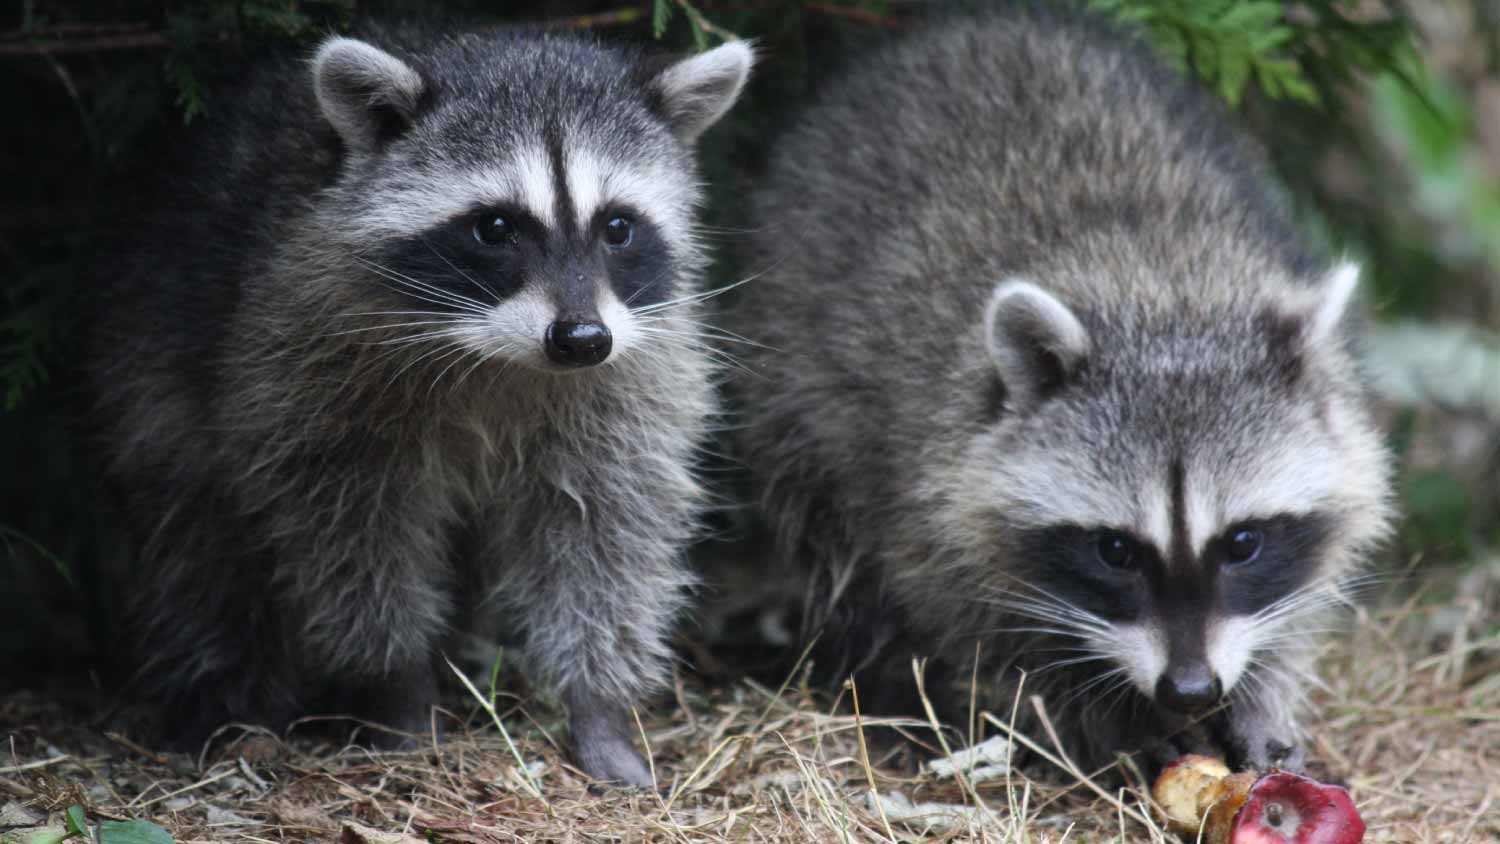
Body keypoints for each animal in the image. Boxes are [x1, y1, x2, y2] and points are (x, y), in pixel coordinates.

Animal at [90, 24, 752, 785]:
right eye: (495, 227)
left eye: (618, 226)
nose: (582, 340)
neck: (500, 354)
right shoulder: (304, 369)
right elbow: (353, 538)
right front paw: (396, 687)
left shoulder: (631, 377)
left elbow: (607, 530)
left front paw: (599, 704)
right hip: (155, 344)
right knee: (197, 538)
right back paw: (225, 696)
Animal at [725, 10, 1392, 774]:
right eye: (1116, 551)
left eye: (1243, 542)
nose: (1190, 688)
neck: (1165, 294)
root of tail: (979, 22)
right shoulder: (931, 487)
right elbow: (992, 637)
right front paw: (1114, 719)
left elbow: (1295, 602)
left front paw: (1260, 697)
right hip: (792, 368)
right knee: (827, 529)